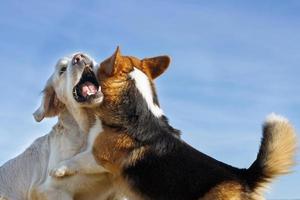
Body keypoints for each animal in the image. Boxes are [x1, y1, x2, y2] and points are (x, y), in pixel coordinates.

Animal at [52, 47, 296, 199]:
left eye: (100, 64)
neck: (135, 111)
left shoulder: (99, 155)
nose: (83, 59)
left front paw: (58, 170)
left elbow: (76, 160)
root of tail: (244, 176)